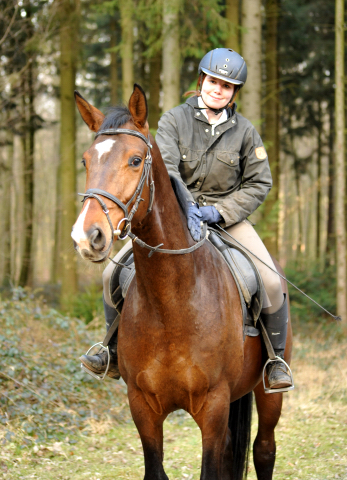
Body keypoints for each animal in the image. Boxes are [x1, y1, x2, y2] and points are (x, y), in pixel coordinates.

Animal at [71, 84, 294, 478]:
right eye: (86, 161)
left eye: (135, 160)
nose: (88, 236)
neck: (172, 301)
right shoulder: (143, 407)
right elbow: (156, 469)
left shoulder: (213, 406)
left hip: (269, 395)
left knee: (264, 450)